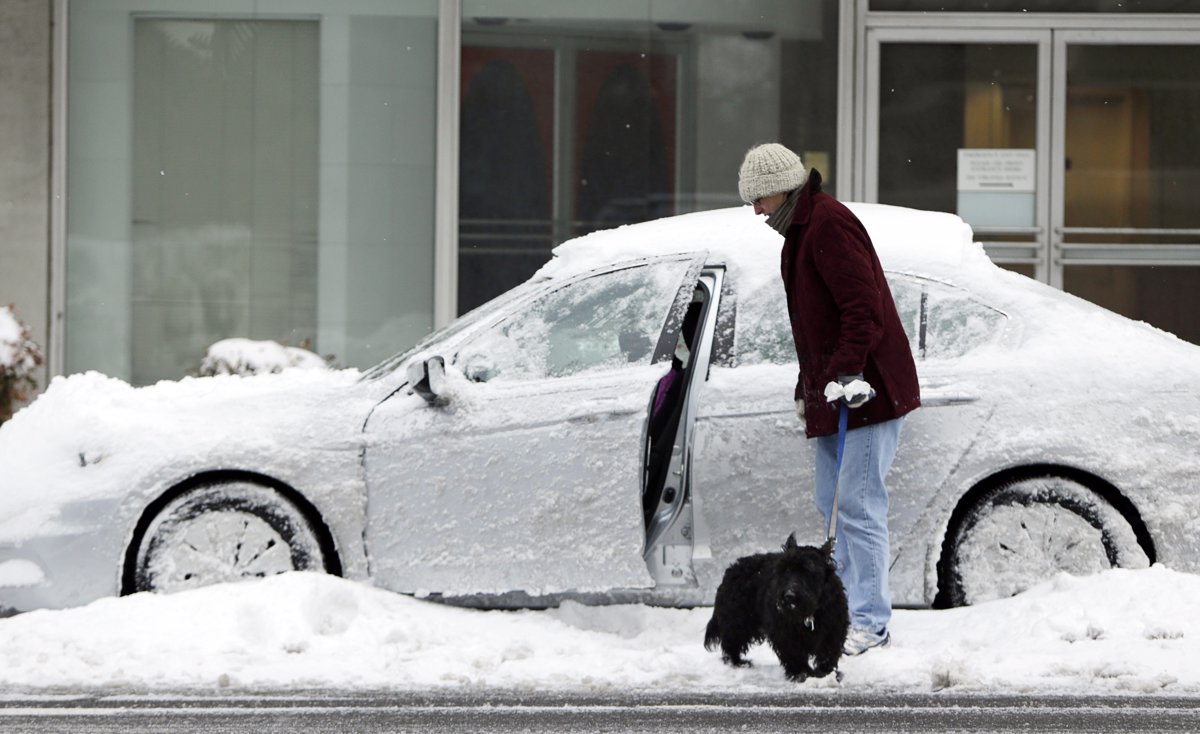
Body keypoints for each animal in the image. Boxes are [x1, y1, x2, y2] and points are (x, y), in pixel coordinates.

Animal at [700, 532, 854, 681]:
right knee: (731, 643)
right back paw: (738, 663)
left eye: (808, 570)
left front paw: (826, 673)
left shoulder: (832, 631)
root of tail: (732, 569)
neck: (808, 613)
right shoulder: (785, 633)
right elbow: (794, 654)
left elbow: (828, 654)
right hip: (738, 621)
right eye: (785, 569)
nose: (789, 596)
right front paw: (801, 674)